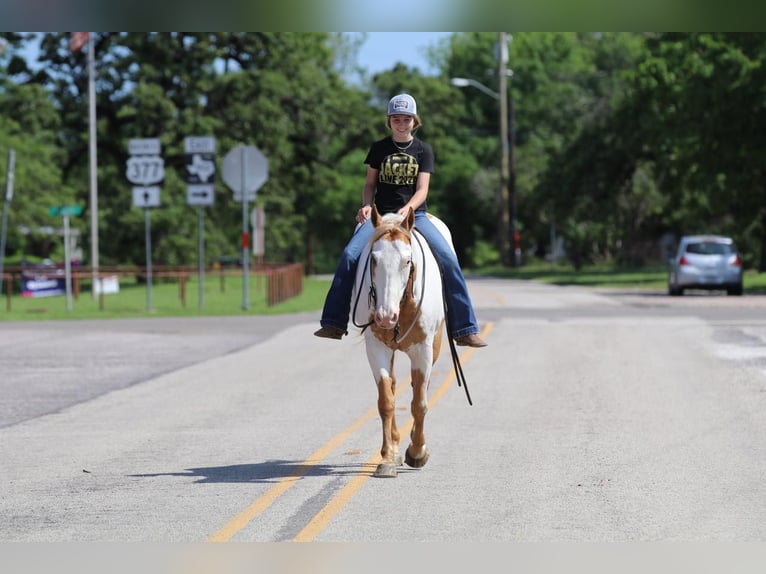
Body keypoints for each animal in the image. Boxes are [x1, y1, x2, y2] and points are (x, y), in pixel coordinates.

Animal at [352, 206, 450, 476]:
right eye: (373, 260)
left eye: (407, 261)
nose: (385, 316)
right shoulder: (376, 348)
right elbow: (386, 401)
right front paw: (388, 457)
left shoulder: (424, 350)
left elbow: (419, 403)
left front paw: (417, 452)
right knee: (395, 387)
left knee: (421, 390)